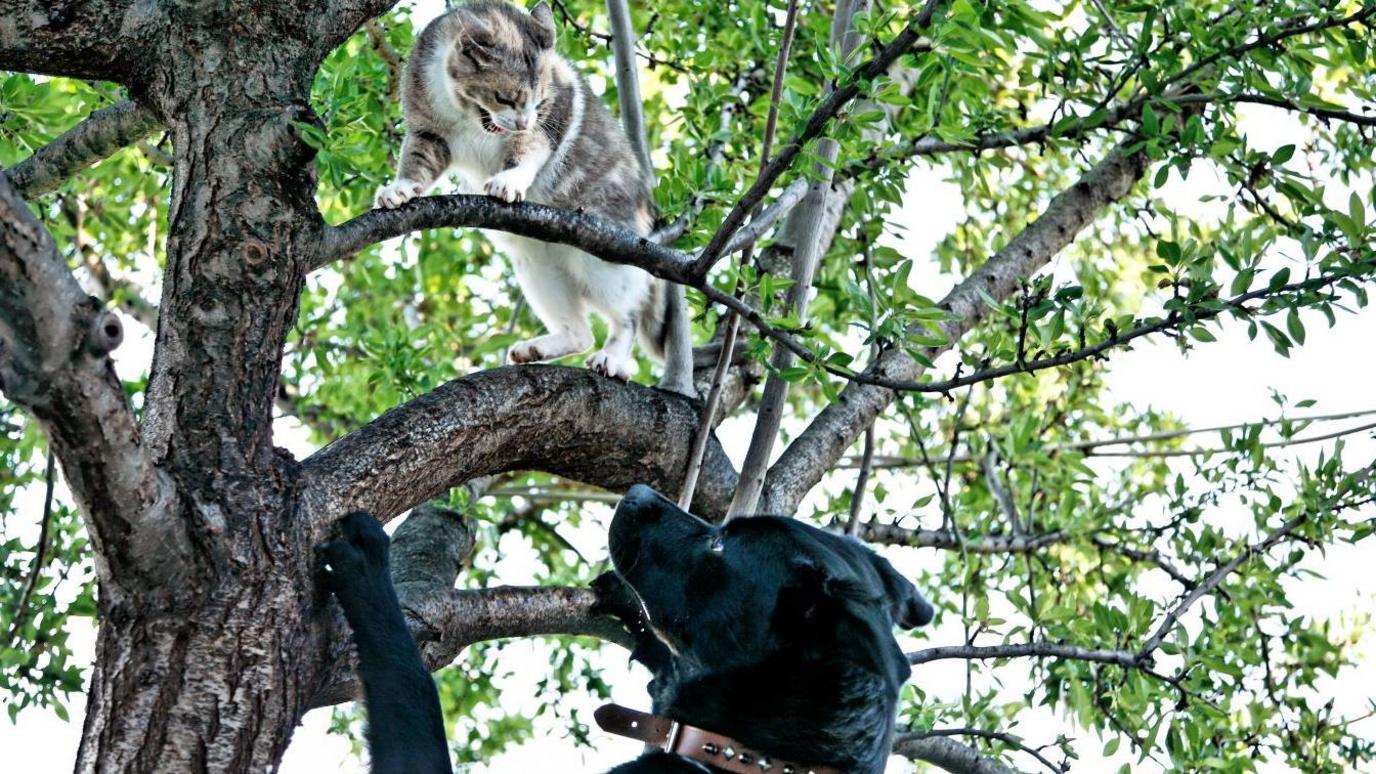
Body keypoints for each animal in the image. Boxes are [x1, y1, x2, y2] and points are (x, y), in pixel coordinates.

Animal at [377, 0, 693, 393]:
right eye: (505, 97)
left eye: (540, 101)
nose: (524, 120)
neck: (469, 114)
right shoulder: (428, 130)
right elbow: (416, 161)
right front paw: (401, 188)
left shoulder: (552, 115)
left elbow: (529, 149)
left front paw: (509, 179)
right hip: (537, 267)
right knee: (579, 331)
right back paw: (541, 347)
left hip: (606, 255)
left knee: (628, 311)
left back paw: (613, 356)